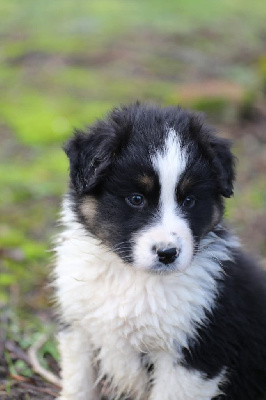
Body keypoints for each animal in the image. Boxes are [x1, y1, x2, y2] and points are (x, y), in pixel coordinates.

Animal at [54, 104, 266, 400]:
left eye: (189, 200)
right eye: (136, 199)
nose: (167, 253)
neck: (131, 276)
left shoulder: (194, 355)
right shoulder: (79, 328)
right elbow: (78, 384)